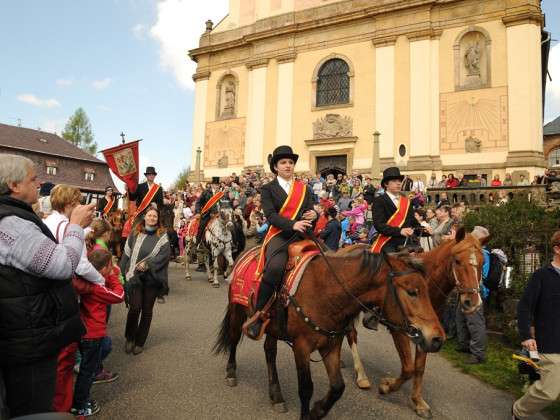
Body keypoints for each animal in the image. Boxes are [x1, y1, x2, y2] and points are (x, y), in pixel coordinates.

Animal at [214, 246, 446, 420]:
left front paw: (317, 410)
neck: (326, 292)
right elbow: (306, 388)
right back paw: (231, 373)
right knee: (233, 338)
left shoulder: (331, 344)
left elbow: (337, 387)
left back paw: (276, 396)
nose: (437, 338)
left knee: (270, 352)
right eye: (412, 291)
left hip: (272, 327)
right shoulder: (302, 347)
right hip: (237, 310)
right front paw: (307, 415)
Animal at [342, 231, 482, 418]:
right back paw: (361, 376)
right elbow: (408, 368)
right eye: (458, 260)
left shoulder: (428, 334)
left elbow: (419, 367)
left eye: (482, 262)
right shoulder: (399, 329)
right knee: (351, 334)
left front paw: (418, 402)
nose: (472, 302)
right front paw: (387, 386)